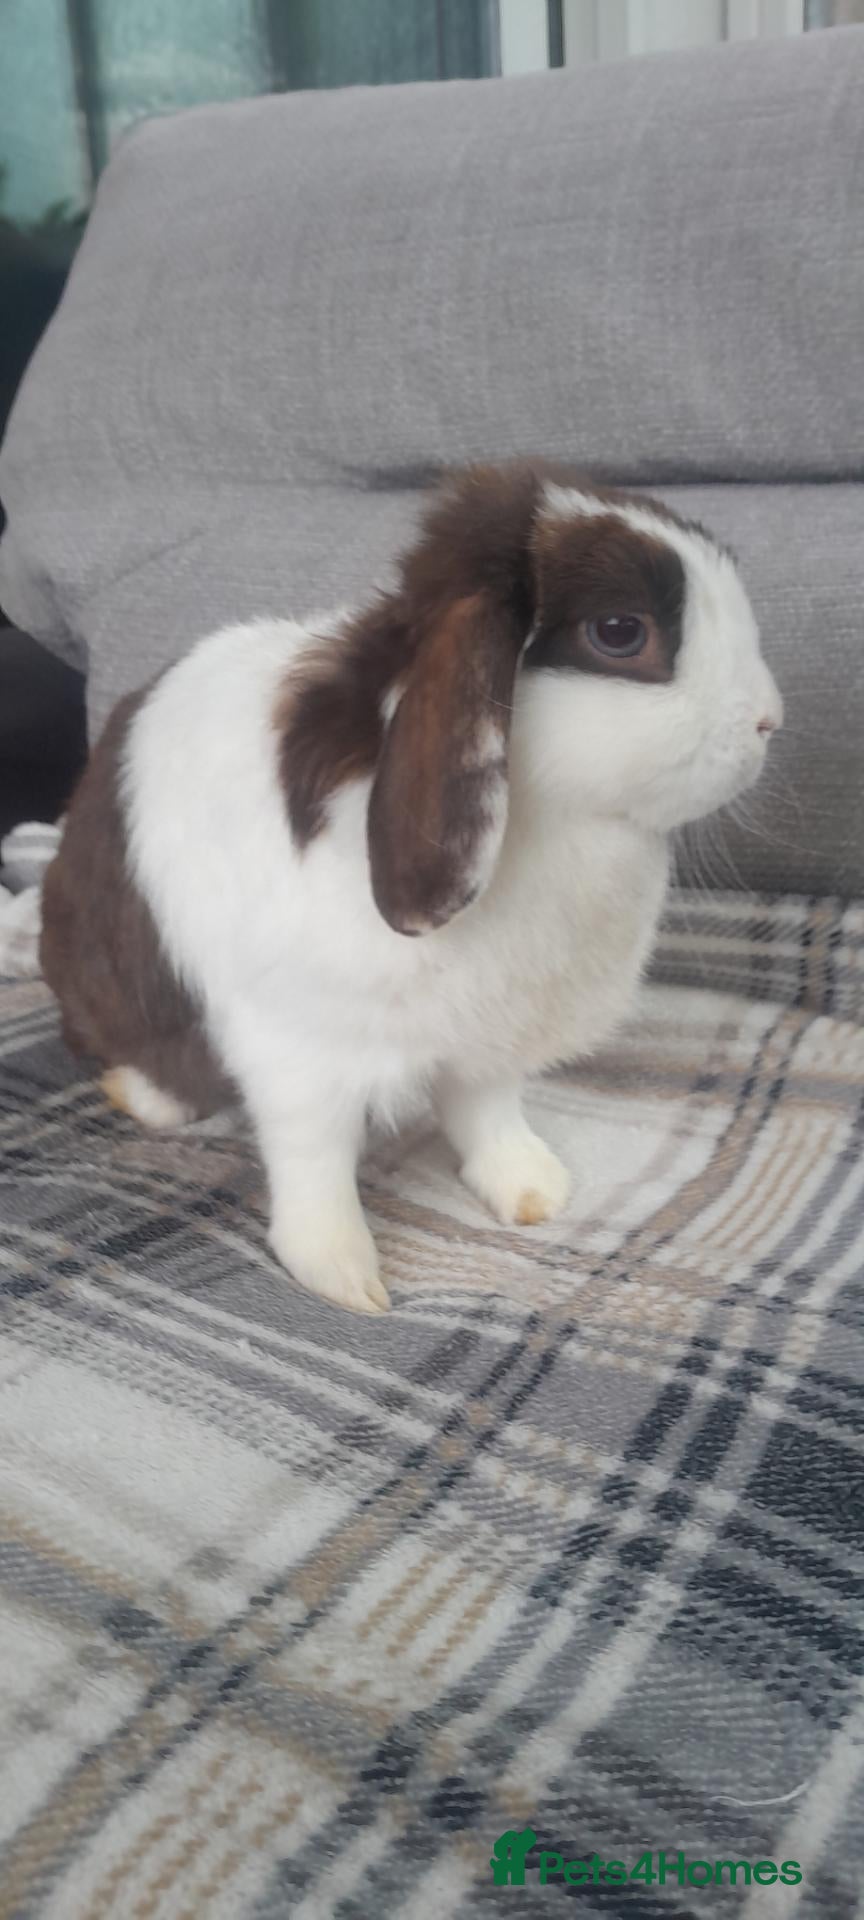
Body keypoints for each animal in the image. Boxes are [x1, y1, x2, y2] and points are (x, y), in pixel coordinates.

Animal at [41, 460, 782, 1314]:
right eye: (621, 631)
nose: (770, 721)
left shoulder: (486, 1042)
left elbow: (487, 1112)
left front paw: (534, 1191)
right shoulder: (297, 1051)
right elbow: (315, 1161)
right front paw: (344, 1277)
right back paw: (145, 1096)